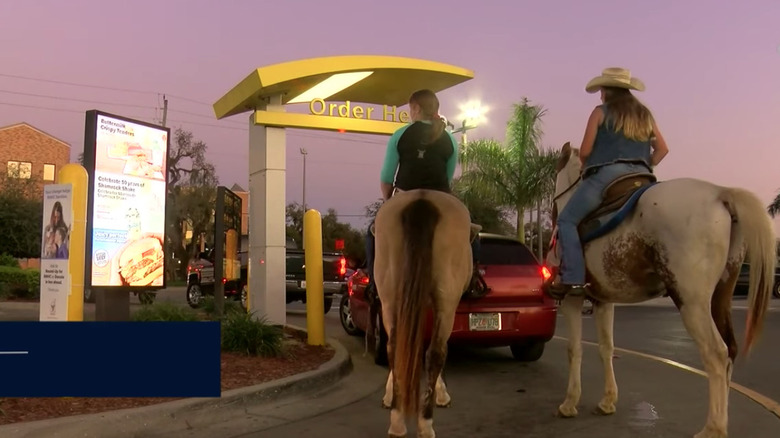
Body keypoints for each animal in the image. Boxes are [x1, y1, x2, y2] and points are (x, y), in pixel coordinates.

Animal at [544, 142, 776, 436]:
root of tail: (719, 194)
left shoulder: (572, 299)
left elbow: (574, 349)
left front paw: (569, 403)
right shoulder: (603, 300)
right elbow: (606, 347)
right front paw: (607, 401)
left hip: (691, 302)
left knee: (716, 353)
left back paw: (713, 428)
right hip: (721, 296)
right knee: (731, 351)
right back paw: (722, 421)